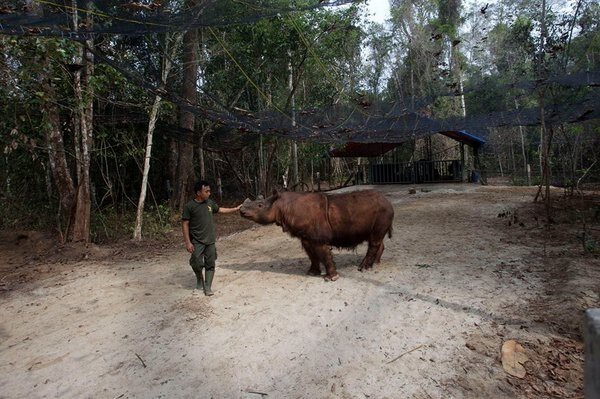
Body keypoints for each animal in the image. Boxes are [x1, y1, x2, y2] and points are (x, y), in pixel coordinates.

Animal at [239, 190, 394, 282]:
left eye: (260, 205)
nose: (241, 210)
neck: (282, 206)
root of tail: (388, 202)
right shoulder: (306, 238)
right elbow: (312, 255)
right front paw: (312, 273)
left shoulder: (319, 238)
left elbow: (324, 255)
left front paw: (331, 278)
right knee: (375, 238)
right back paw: (375, 263)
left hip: (383, 211)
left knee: (374, 239)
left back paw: (363, 268)